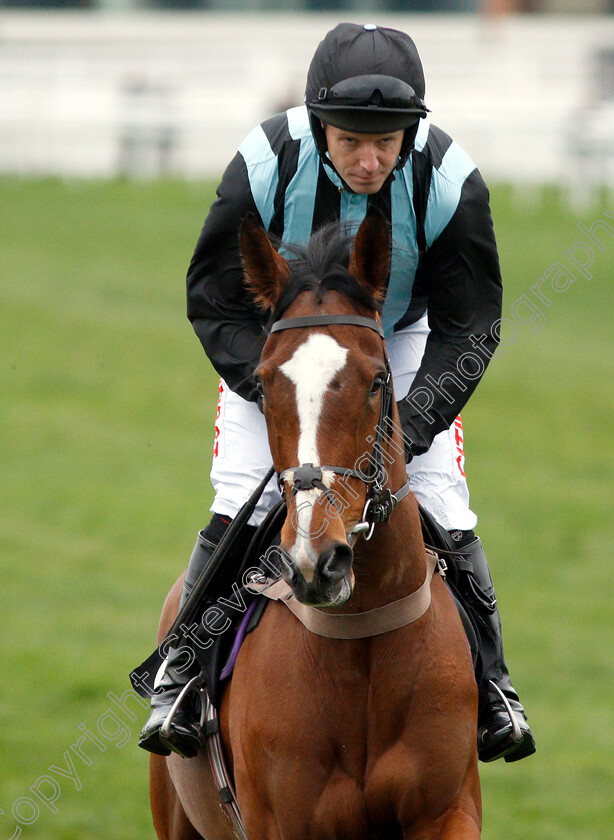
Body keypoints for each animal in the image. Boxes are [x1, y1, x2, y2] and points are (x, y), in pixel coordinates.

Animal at [148, 210, 482, 840]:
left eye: (377, 381)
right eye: (261, 382)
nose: (315, 561)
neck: (362, 637)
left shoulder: (448, 809)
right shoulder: (282, 821)